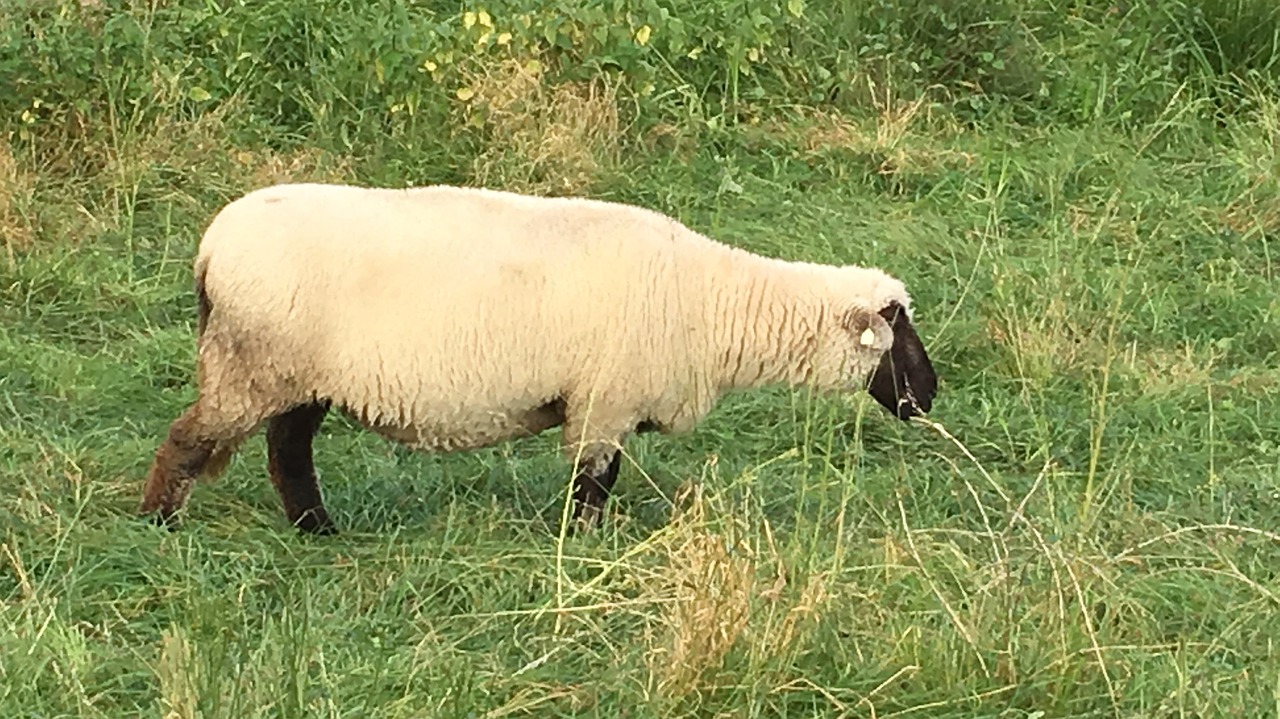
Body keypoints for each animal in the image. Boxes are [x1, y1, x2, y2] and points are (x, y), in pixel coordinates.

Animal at [137, 181, 942, 534]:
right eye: (899, 332)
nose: (928, 396)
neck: (718, 304)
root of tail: (212, 246)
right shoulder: (605, 399)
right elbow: (593, 482)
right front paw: (584, 546)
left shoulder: (608, 401)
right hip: (253, 363)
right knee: (189, 439)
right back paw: (159, 524)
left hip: (294, 374)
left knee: (287, 450)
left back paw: (317, 529)